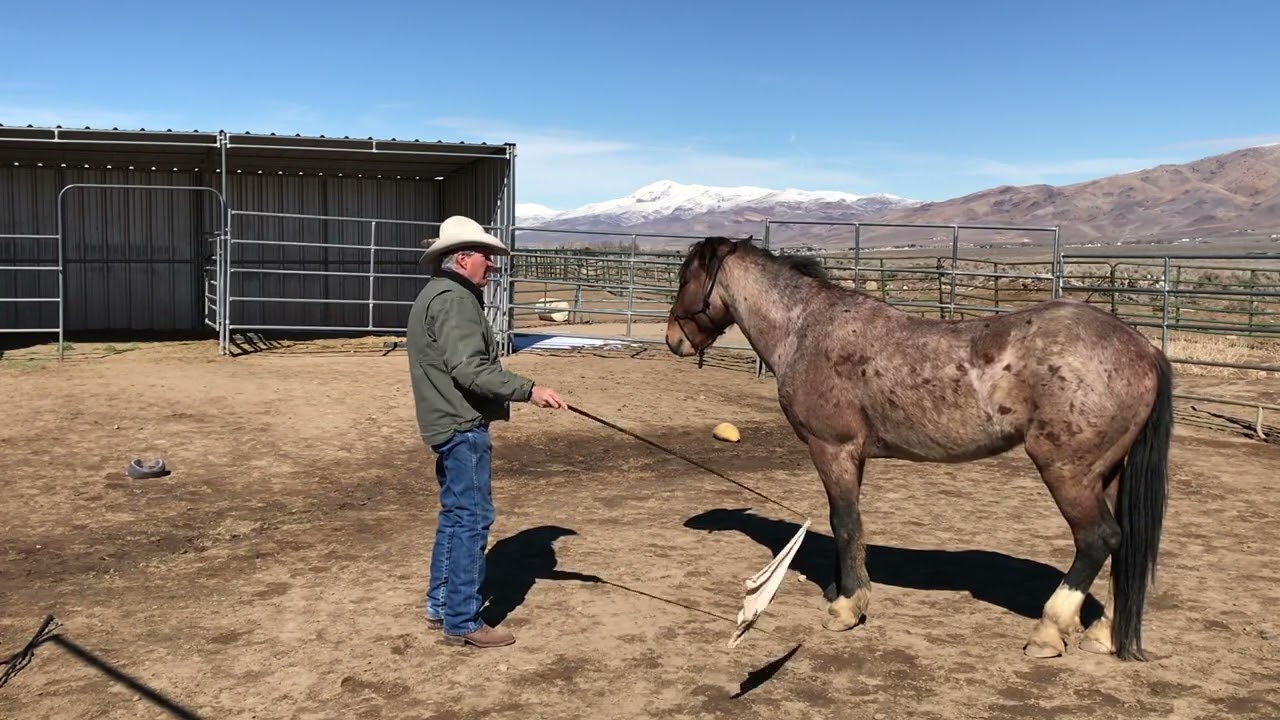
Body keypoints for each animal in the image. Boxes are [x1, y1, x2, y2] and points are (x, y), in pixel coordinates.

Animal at [664, 236, 1172, 661]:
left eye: (685, 278)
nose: (673, 340)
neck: (805, 329)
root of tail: (1144, 350)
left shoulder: (833, 449)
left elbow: (844, 523)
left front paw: (846, 609)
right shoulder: (853, 456)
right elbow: (849, 525)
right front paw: (842, 590)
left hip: (1067, 472)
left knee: (1098, 539)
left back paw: (1048, 632)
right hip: (1104, 474)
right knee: (1121, 543)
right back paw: (1103, 633)